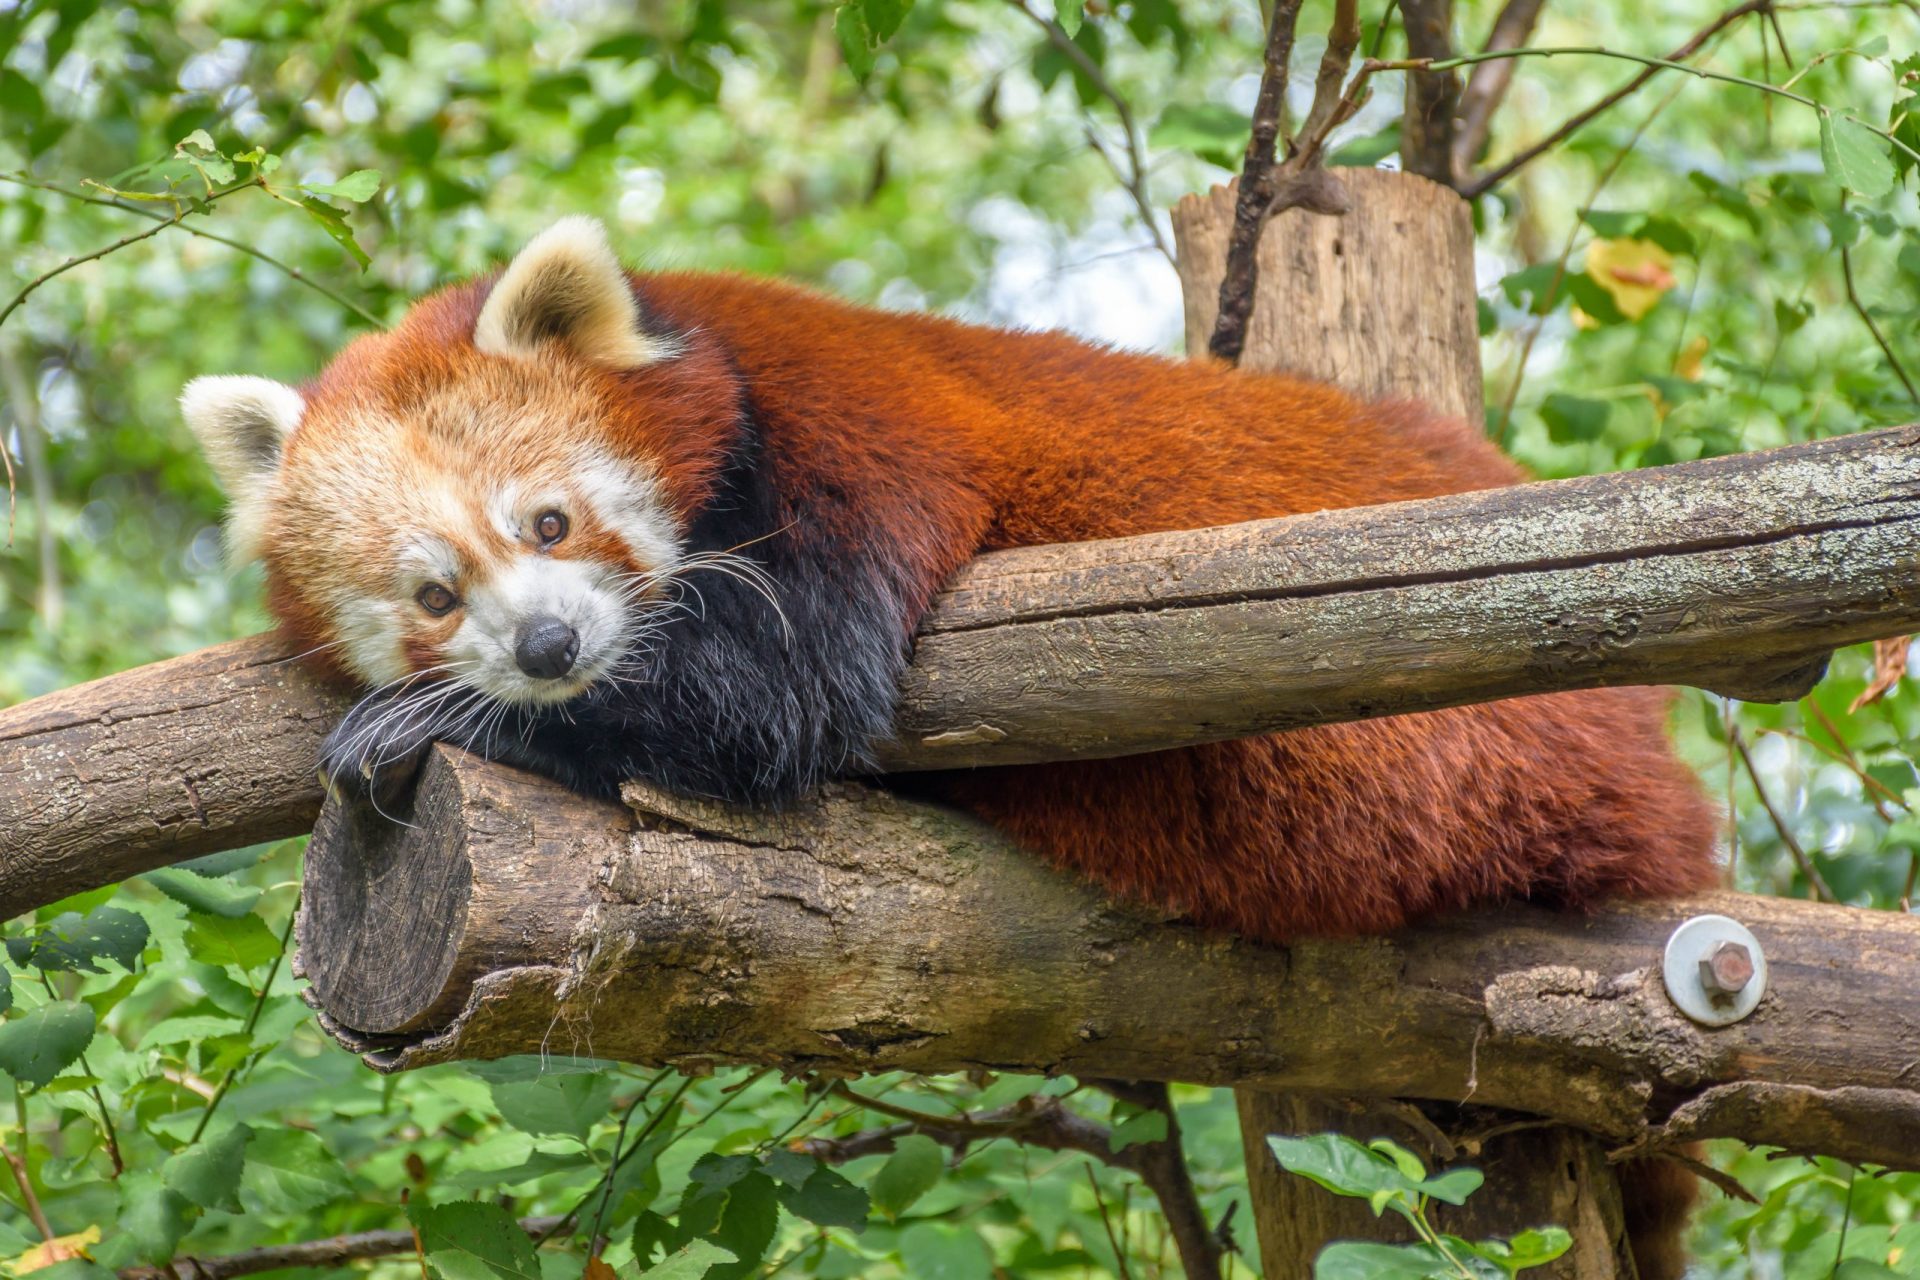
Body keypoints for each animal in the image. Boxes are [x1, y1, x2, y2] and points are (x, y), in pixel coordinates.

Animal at [180, 214, 1712, 1266]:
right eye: (434, 595)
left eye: (549, 523)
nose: (548, 647)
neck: (724, 361)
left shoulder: (851, 431)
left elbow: (783, 693)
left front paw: (426, 721)